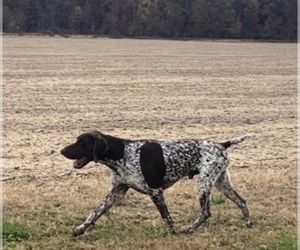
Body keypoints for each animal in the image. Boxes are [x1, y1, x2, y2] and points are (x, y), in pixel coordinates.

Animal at [61, 131, 253, 236]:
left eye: (82, 143)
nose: (62, 151)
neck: (122, 154)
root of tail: (221, 144)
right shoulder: (116, 193)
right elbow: (94, 213)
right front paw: (79, 229)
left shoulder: (155, 192)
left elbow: (166, 217)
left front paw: (172, 234)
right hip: (221, 183)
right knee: (242, 201)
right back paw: (248, 223)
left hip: (204, 184)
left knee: (206, 212)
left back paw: (190, 229)